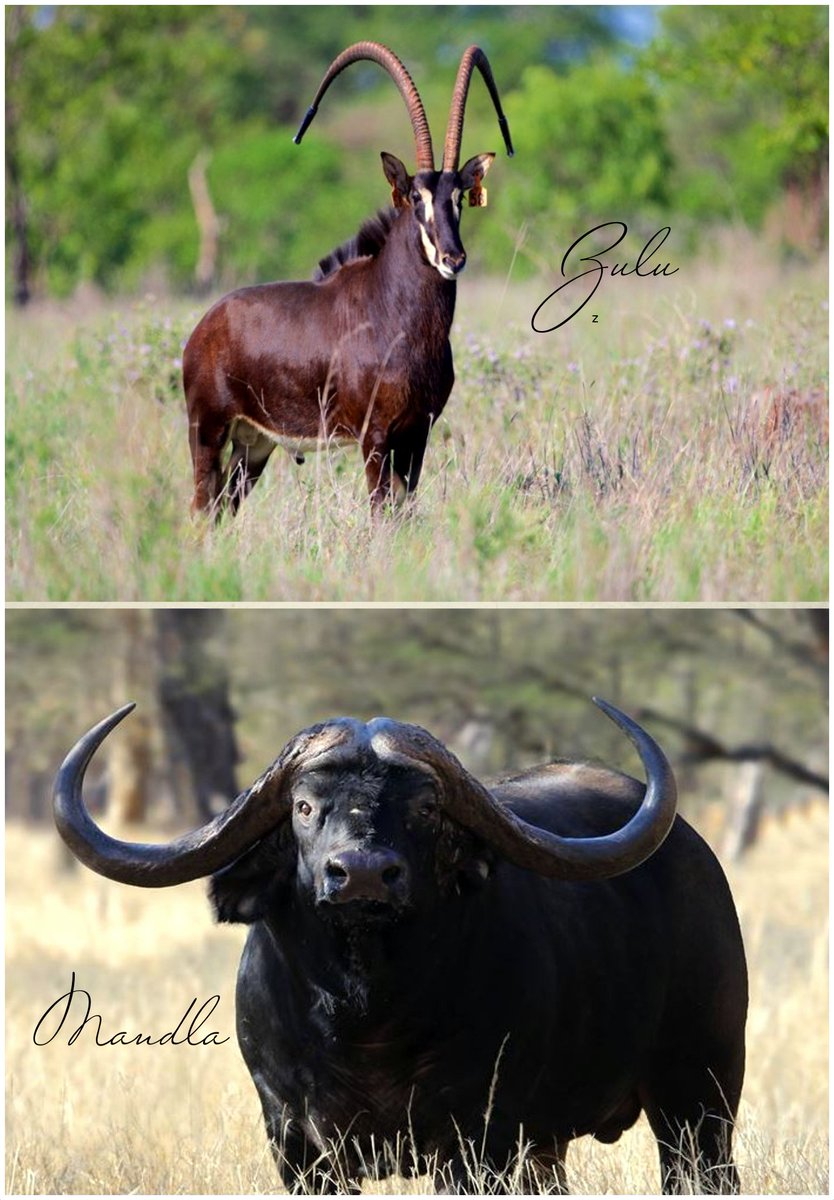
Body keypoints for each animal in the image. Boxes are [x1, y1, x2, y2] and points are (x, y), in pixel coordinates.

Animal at [54, 698, 747, 1194]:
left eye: (424, 807)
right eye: (304, 806)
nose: (361, 873)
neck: (367, 1017)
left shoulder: (479, 1142)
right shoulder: (296, 1144)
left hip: (699, 1097)